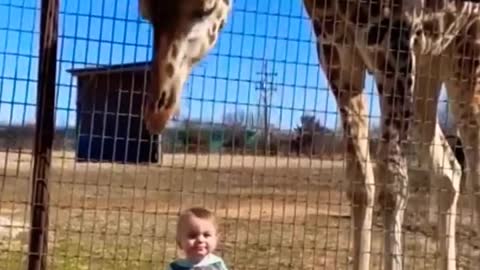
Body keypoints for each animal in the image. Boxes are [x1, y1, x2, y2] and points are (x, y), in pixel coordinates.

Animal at [137, 0, 478, 270]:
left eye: (205, 9)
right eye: (144, 12)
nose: (158, 111)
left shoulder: (394, 47)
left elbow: (393, 187)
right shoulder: (337, 54)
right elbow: (360, 187)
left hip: (464, 52)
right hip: (432, 61)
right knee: (451, 169)